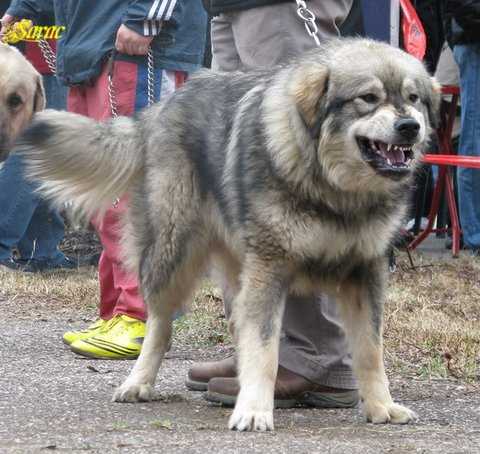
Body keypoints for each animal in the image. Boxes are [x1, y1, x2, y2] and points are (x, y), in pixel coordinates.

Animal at [17, 38, 438, 430]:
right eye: (368, 98)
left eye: (414, 98)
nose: (410, 127)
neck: (332, 190)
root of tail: (158, 110)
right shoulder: (270, 267)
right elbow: (265, 349)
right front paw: (254, 410)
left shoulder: (365, 273)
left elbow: (369, 350)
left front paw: (381, 406)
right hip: (172, 255)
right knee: (160, 327)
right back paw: (140, 381)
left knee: (235, 326)